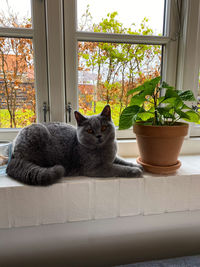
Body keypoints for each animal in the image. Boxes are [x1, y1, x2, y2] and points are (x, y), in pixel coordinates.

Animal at [6, 105, 143, 186]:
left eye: (104, 127)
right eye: (90, 131)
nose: (99, 136)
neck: (104, 150)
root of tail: (13, 155)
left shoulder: (113, 157)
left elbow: (122, 161)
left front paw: (138, 166)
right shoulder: (97, 168)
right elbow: (118, 168)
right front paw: (135, 171)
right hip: (38, 134)